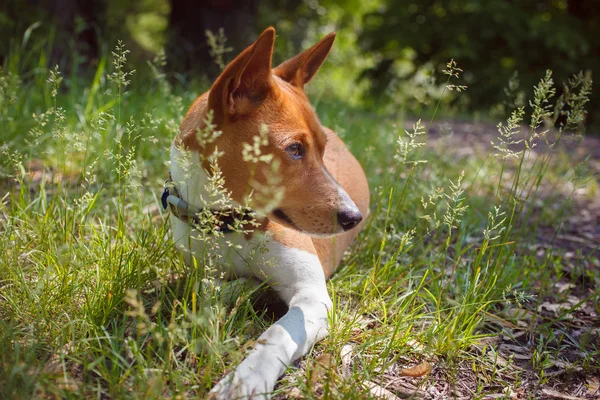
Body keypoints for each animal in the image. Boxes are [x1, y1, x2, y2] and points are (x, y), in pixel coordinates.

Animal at [166, 26, 368, 398]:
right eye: (295, 149)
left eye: (322, 149)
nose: (353, 217)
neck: (228, 223)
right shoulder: (202, 268)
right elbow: (206, 287)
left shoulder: (312, 297)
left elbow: (275, 334)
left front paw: (244, 380)